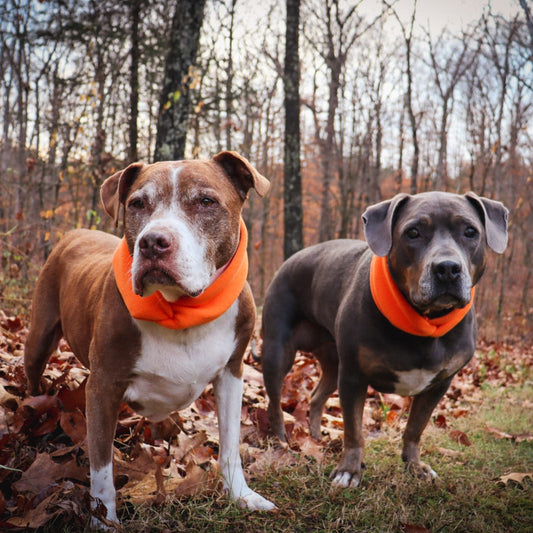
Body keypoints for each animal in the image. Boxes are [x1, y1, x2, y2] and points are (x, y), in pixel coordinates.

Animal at [24, 150, 274, 524]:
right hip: (39, 337)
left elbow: (230, 444)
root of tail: (76, 232)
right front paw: (103, 520)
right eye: (138, 203)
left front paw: (241, 496)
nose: (153, 242)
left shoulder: (232, 373)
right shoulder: (104, 386)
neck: (181, 308)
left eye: (206, 202)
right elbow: (101, 467)